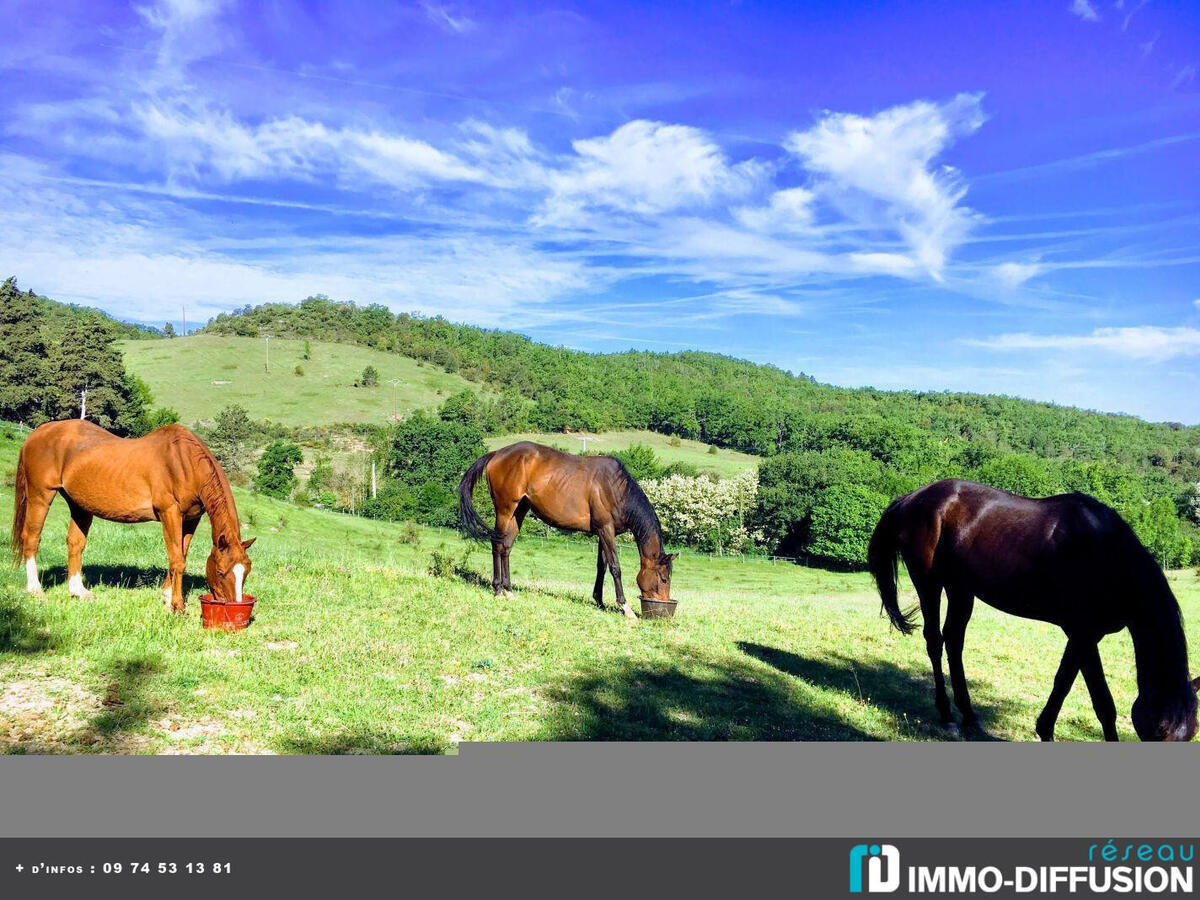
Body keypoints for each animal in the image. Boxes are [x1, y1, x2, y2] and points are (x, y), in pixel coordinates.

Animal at [11, 422, 255, 614]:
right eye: (221, 572)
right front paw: (176, 605)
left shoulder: (190, 519)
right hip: (40, 496)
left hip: (79, 505)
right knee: (31, 538)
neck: (183, 461)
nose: (235, 605)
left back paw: (79, 592)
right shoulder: (169, 513)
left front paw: (167, 597)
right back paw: (35, 590)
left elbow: (180, 555)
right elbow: (177, 559)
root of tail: (38, 432)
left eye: (246, 571)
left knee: (75, 543)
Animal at [453, 441, 676, 619]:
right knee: (497, 544)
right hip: (505, 509)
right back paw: (498, 589)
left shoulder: (602, 533)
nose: (663, 604)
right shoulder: (606, 530)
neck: (616, 489)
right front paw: (625, 607)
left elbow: (601, 567)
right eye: (664, 578)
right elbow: (615, 567)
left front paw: (599, 601)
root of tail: (497, 453)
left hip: (519, 511)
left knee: (506, 546)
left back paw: (508, 590)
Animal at [868, 475, 1195, 744]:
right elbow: (1103, 703)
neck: (1107, 556)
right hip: (929, 583)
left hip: (961, 590)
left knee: (954, 641)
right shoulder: (1083, 634)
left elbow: (1064, 681)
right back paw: (948, 717)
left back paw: (970, 716)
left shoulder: (1084, 636)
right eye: (1160, 732)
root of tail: (912, 497)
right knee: (935, 641)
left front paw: (1045, 729)